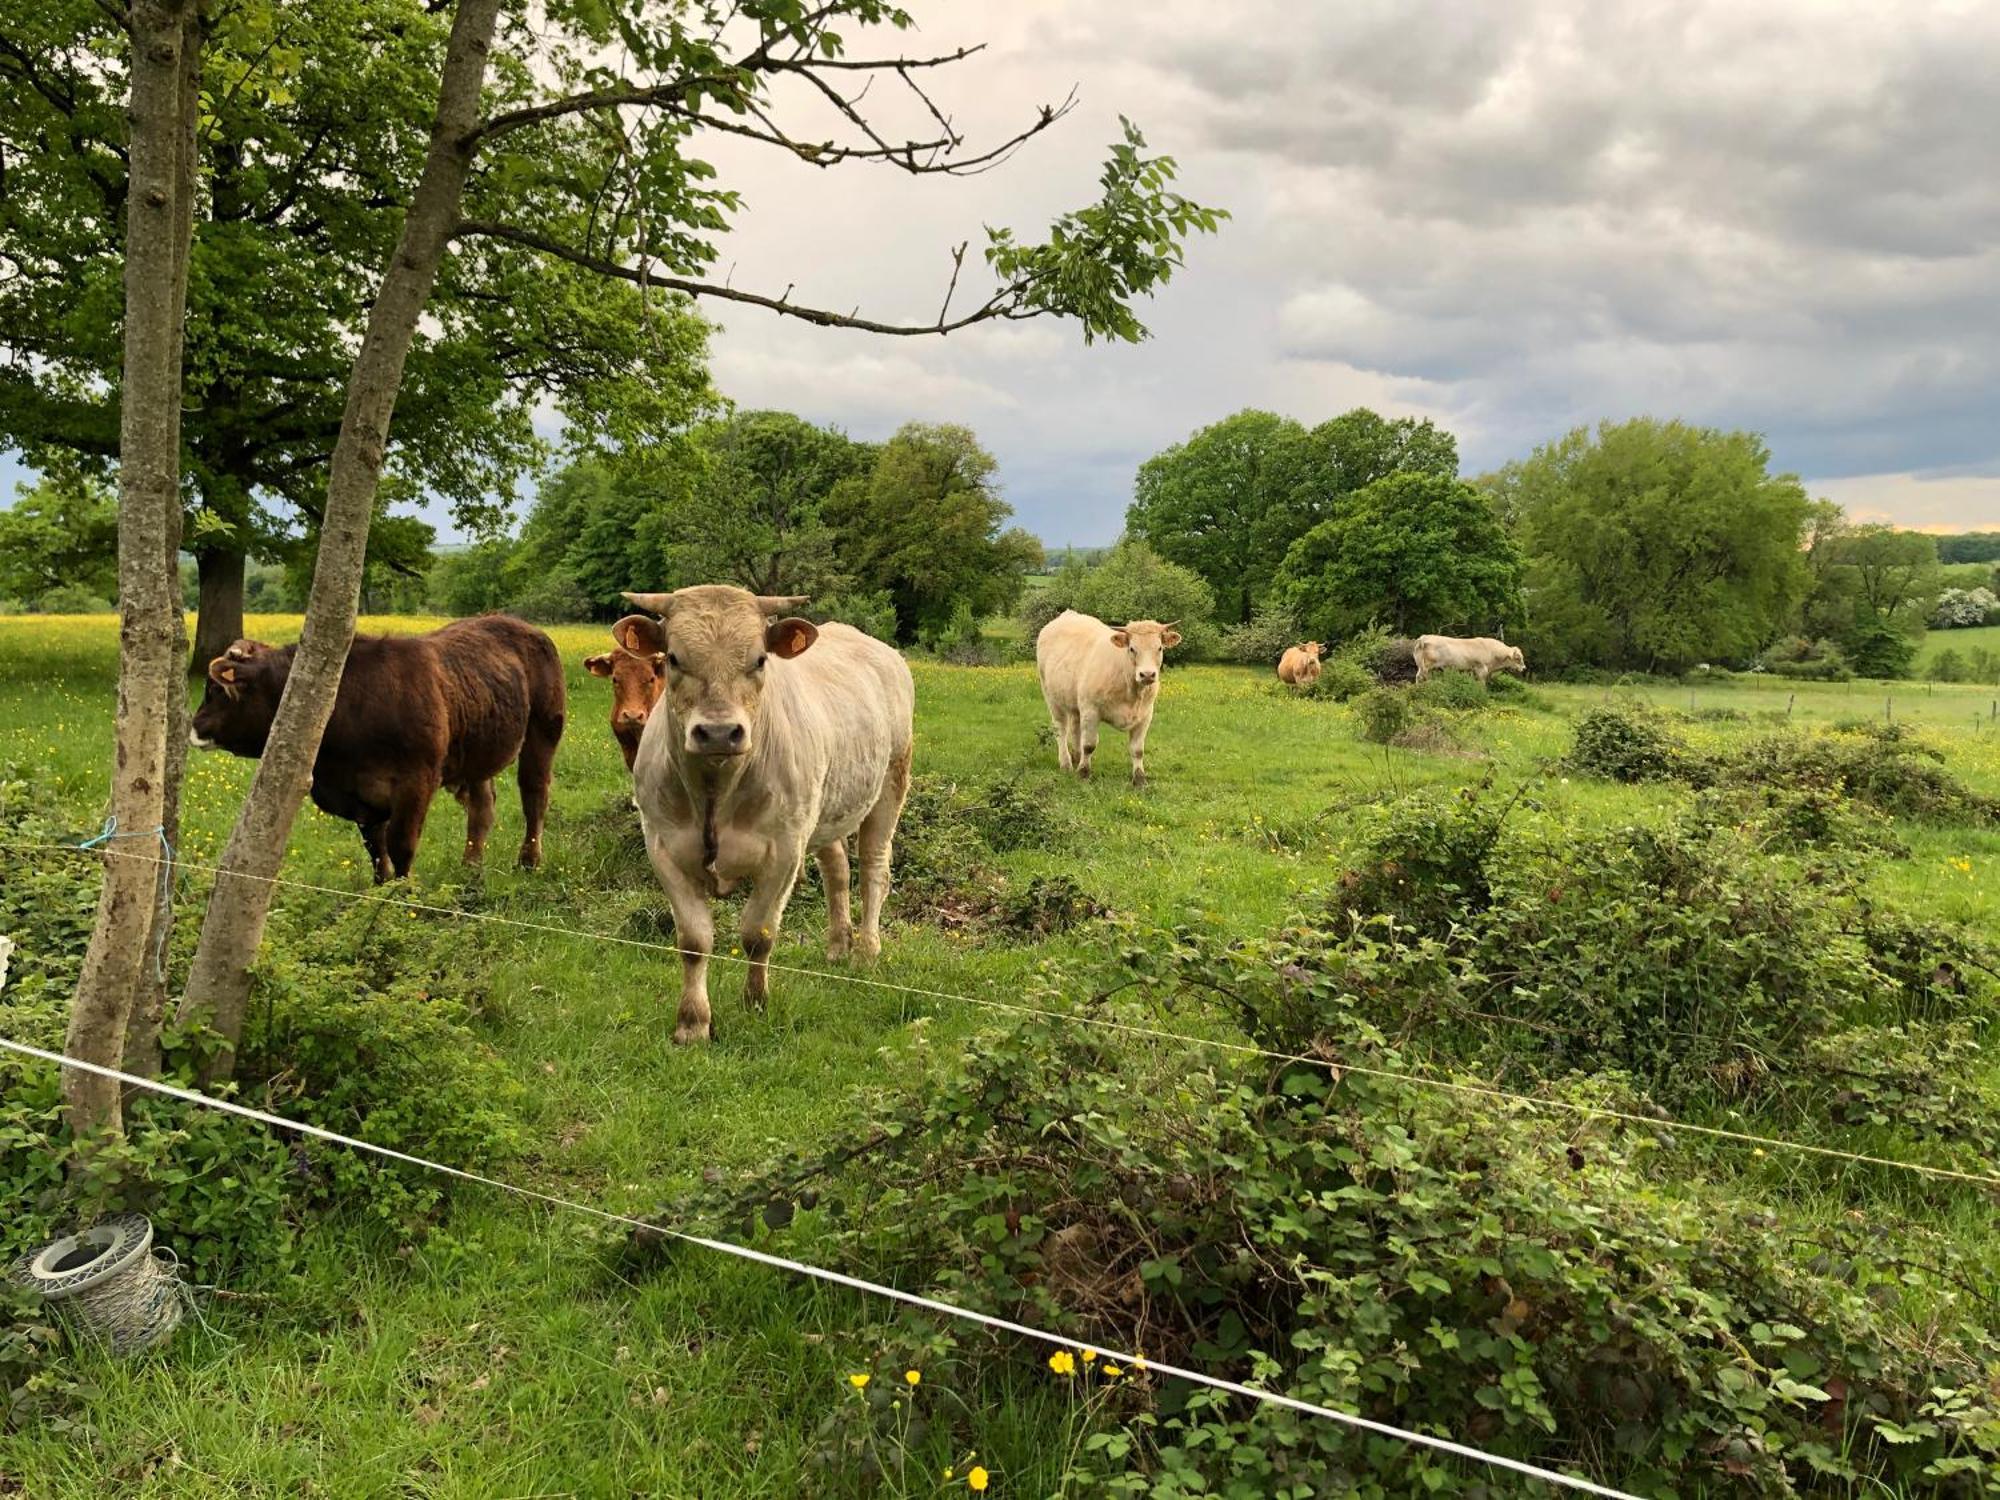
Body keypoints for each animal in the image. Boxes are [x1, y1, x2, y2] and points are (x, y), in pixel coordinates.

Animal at [191, 616, 568, 888]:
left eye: (215, 690)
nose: (194, 726)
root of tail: (520, 624)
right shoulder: (361, 797)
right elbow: (376, 847)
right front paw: (379, 890)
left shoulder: (416, 782)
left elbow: (401, 844)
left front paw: (401, 896)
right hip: (476, 750)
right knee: (482, 808)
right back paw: (470, 868)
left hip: (543, 731)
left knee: (534, 796)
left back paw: (528, 861)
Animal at [620, 584, 916, 1048]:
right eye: (673, 659)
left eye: (760, 660)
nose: (719, 733)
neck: (715, 789)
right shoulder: (663, 846)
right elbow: (694, 939)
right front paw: (692, 1022)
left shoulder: (784, 849)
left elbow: (758, 934)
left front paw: (755, 1003)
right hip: (826, 805)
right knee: (837, 869)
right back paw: (838, 945)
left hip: (891, 782)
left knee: (874, 869)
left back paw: (866, 951)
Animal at [1040, 612, 1176, 792]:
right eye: (1132, 648)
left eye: (1159, 648)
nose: (1147, 675)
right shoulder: (1091, 710)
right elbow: (1089, 745)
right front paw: (1083, 774)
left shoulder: (1145, 715)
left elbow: (1138, 750)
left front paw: (1140, 780)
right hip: (1052, 697)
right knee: (1061, 730)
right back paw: (1066, 764)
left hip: (1075, 702)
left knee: (1075, 729)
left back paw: (1076, 758)